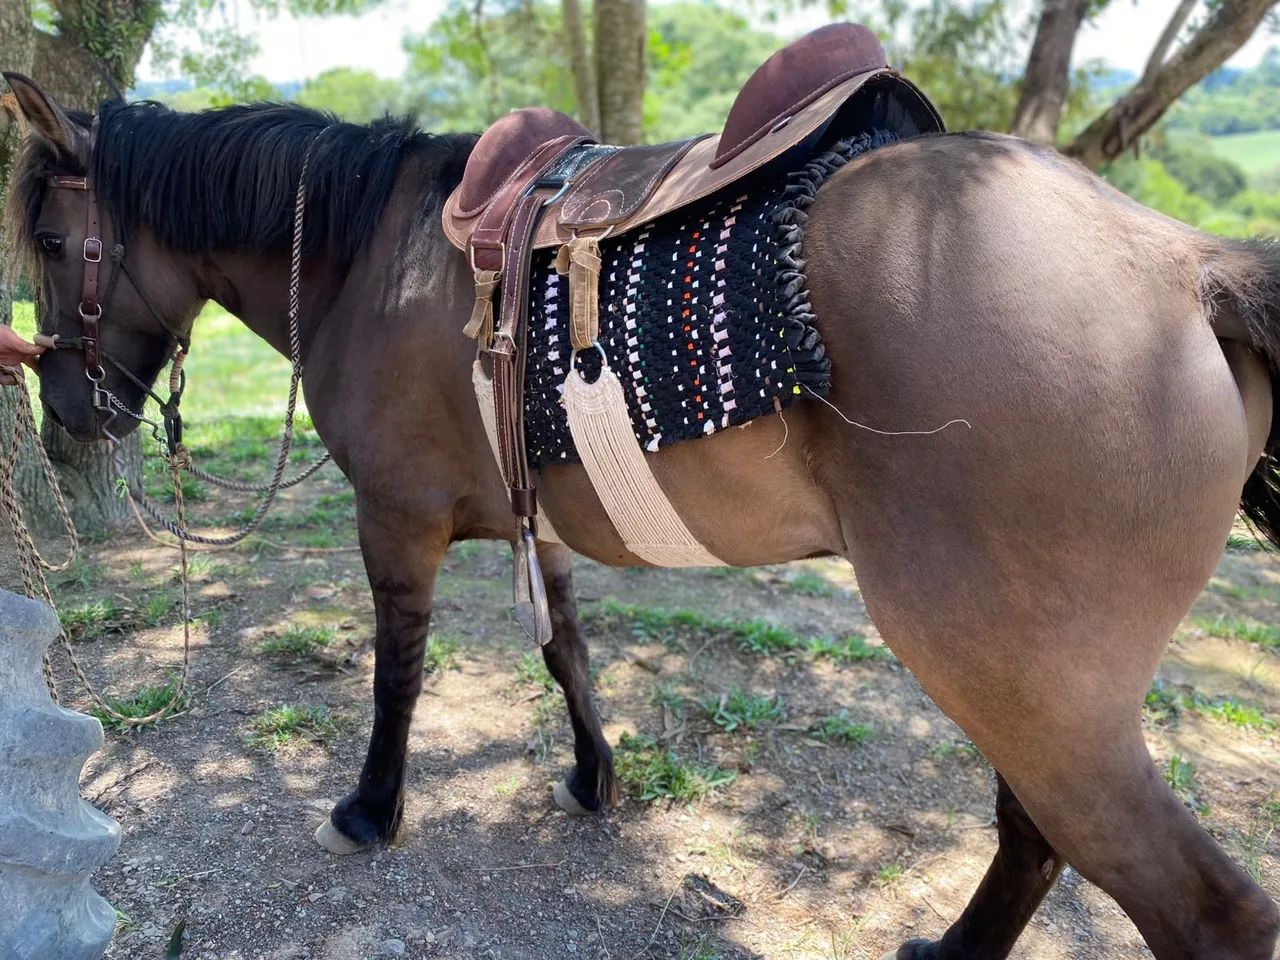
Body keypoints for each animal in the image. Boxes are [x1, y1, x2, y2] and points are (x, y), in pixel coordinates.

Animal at [4, 74, 1279, 960]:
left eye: (56, 244)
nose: (63, 405)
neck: (371, 258)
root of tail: (1182, 267)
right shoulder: (536, 529)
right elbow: (567, 653)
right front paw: (593, 780)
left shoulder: (396, 522)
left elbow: (396, 675)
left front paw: (371, 809)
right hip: (1029, 686)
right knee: (1033, 839)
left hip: (1018, 680)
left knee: (1189, 903)